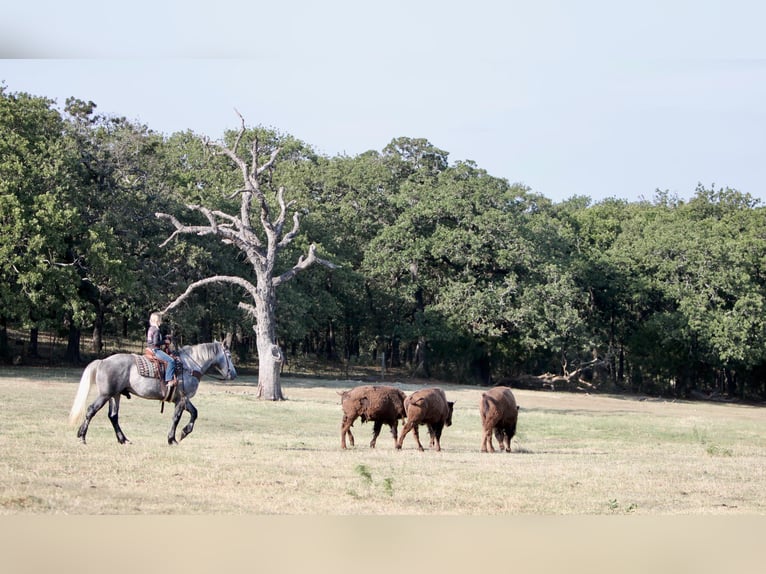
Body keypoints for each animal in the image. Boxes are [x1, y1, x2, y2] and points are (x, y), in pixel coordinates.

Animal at [69, 344, 237, 448]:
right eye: (228, 355)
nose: (234, 374)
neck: (189, 366)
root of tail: (102, 361)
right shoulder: (182, 399)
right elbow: (176, 418)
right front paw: (172, 439)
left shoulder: (182, 399)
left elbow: (194, 413)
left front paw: (184, 432)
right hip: (105, 395)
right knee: (91, 410)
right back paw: (82, 436)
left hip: (115, 396)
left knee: (113, 416)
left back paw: (123, 440)